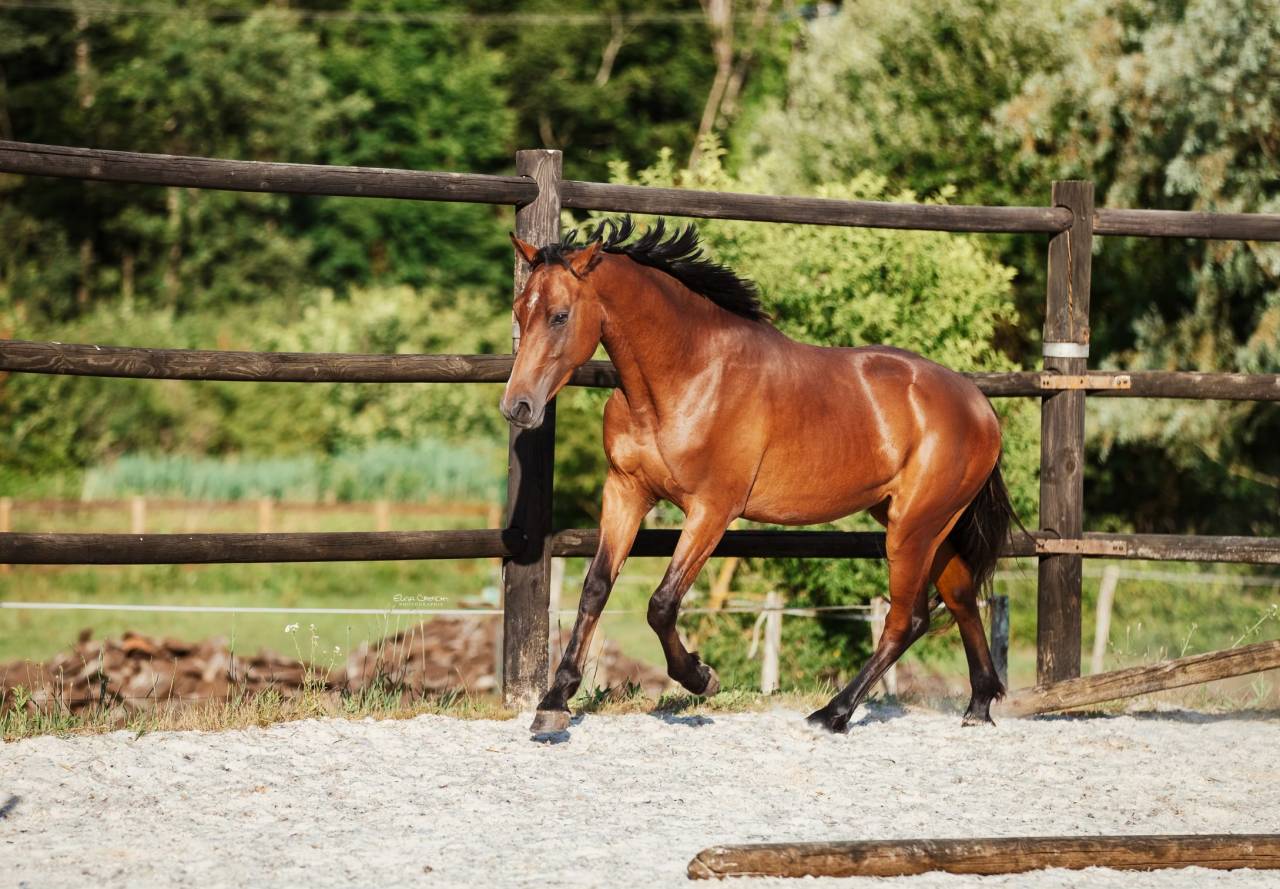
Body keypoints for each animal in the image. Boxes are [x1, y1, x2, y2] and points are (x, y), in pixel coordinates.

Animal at [501, 217, 1016, 735]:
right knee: (960, 596)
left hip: (913, 528)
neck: (688, 374)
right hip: (924, 524)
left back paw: (832, 714)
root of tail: (979, 404)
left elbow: (662, 603)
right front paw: (554, 702)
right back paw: (978, 705)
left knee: (906, 620)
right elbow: (595, 589)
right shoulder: (626, 492)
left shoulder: (712, 509)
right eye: (519, 310)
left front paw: (701, 677)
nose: (517, 406)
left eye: (560, 316)